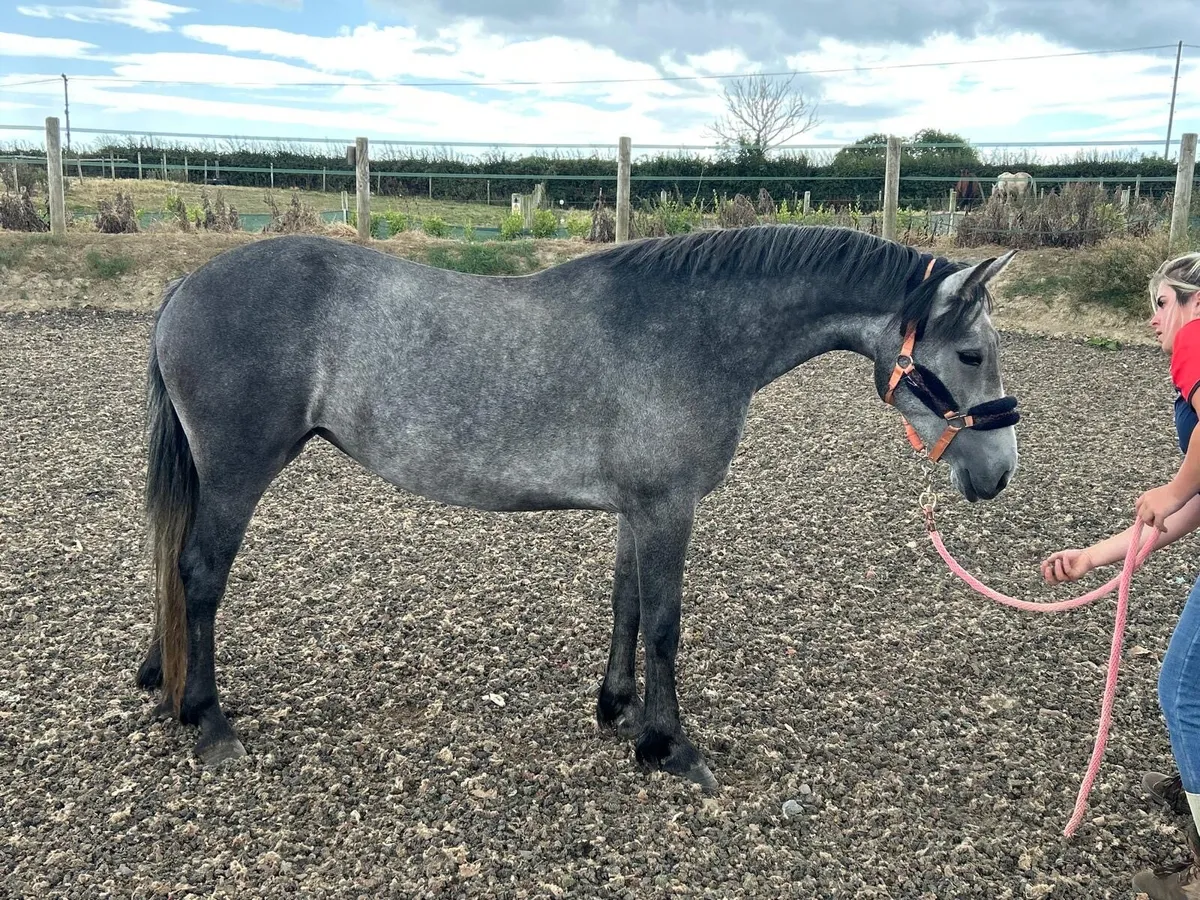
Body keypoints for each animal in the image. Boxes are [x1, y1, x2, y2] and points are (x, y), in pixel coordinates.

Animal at [137, 225, 1021, 788]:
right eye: (972, 353)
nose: (1000, 472)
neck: (690, 332)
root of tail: (185, 286)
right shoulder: (668, 508)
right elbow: (664, 624)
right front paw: (669, 747)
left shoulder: (639, 508)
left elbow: (625, 605)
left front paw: (618, 709)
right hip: (238, 474)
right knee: (200, 574)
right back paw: (209, 722)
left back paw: (161, 682)